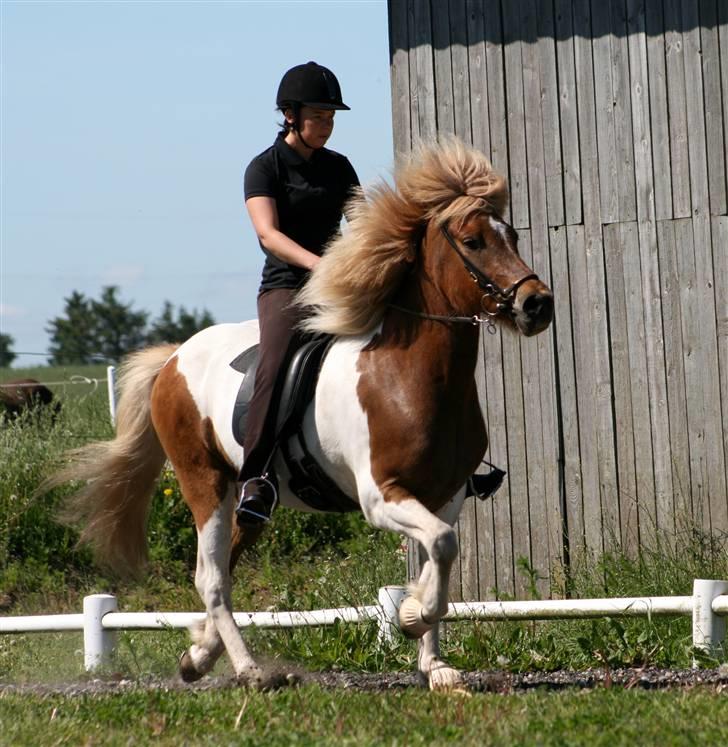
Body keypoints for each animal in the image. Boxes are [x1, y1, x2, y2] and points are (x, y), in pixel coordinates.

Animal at [49, 137, 552, 692]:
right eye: (473, 241)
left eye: (511, 235)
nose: (537, 304)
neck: (410, 373)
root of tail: (173, 358)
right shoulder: (381, 497)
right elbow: (441, 549)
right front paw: (412, 619)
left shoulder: (445, 497)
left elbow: (438, 558)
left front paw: (435, 663)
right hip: (203, 480)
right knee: (211, 576)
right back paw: (248, 670)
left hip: (247, 496)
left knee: (227, 563)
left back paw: (199, 654)